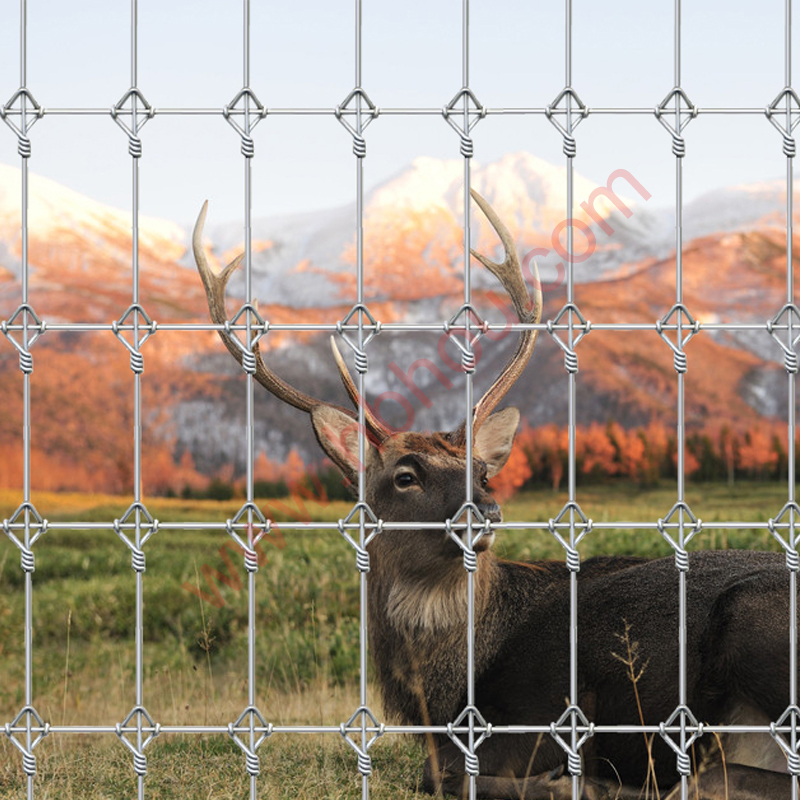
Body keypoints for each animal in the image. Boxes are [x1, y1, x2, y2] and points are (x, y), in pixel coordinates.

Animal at [193, 191, 797, 799]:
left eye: (482, 472)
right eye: (405, 476)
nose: (486, 510)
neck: (443, 698)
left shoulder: (541, 710)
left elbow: (444, 774)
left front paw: (567, 777)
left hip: (750, 621)